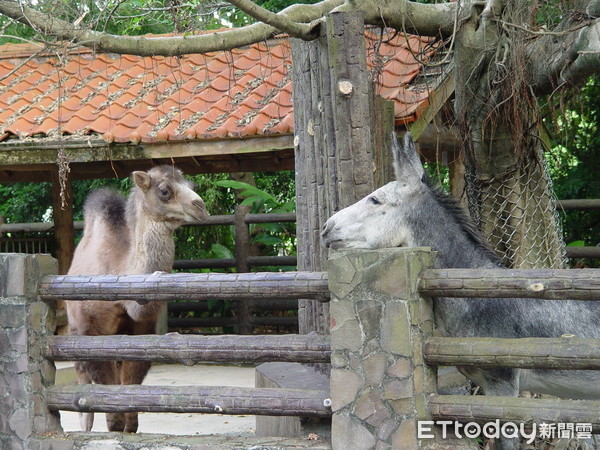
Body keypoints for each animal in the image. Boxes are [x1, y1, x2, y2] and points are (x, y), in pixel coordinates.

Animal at [65, 165, 209, 432]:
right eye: (164, 190)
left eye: (191, 185)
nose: (200, 207)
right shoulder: (91, 331)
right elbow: (107, 388)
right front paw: (114, 427)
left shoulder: (142, 328)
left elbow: (131, 381)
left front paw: (129, 427)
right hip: (73, 327)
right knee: (81, 372)